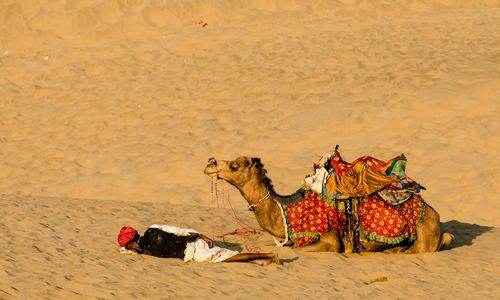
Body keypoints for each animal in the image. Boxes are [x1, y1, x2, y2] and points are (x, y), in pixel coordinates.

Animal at [203, 157, 454, 253]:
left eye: (235, 165)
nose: (210, 163)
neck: (285, 210)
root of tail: (434, 213)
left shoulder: (330, 238)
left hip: (424, 239)